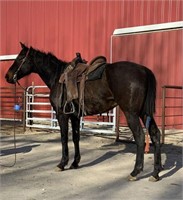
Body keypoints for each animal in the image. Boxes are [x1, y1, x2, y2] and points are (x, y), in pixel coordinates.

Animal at [5, 43, 163, 182]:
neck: (57, 76)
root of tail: (144, 70)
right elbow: (76, 138)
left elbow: (64, 138)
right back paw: (155, 173)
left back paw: (135, 172)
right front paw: (75, 162)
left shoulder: (62, 115)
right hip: (145, 113)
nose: (7, 76)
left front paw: (62, 163)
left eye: (20, 58)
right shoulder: (75, 116)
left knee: (140, 137)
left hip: (132, 114)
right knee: (155, 135)